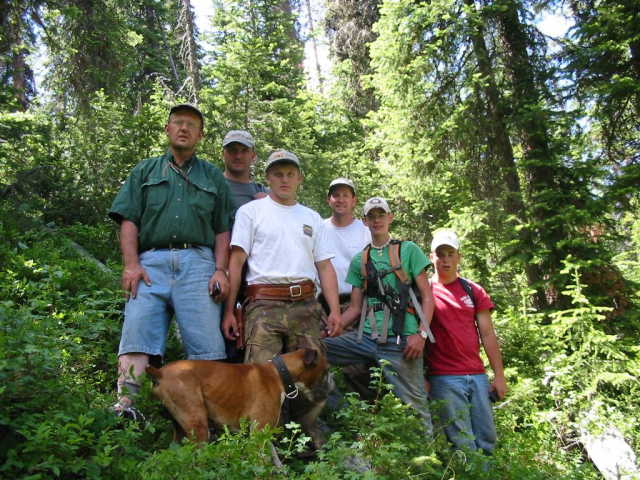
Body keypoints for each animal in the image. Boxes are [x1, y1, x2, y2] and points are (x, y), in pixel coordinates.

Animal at [144, 348, 324, 442]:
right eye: (325, 370)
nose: (324, 395)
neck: (278, 371)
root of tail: (159, 373)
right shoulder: (259, 431)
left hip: (180, 430)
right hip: (198, 427)